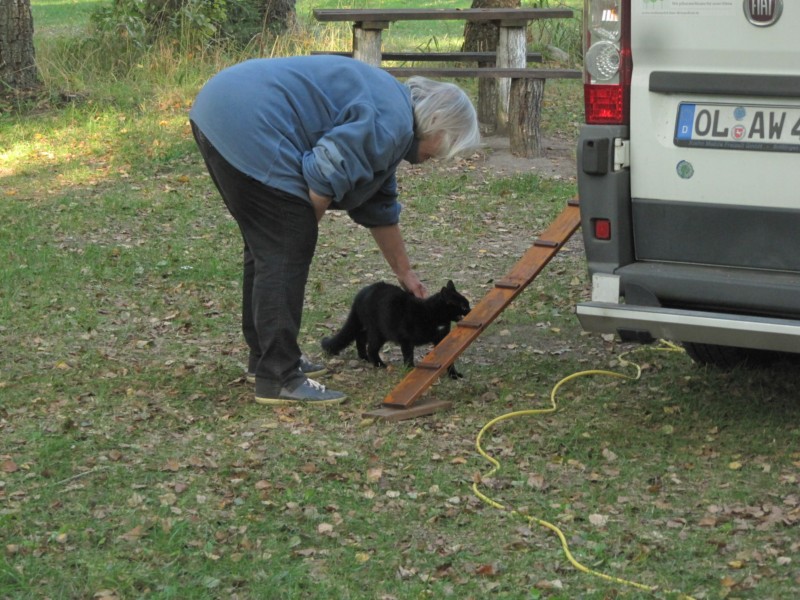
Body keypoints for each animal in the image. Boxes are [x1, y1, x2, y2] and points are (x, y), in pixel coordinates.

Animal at [318, 280, 468, 376]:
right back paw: (379, 364)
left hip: (369, 327)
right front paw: (410, 370)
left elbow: (447, 359)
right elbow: (408, 356)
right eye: (463, 306)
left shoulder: (441, 339)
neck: (433, 313)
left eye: (467, 304)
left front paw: (453, 374)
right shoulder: (406, 340)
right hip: (378, 332)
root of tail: (361, 294)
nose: (470, 309)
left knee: (360, 337)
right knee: (371, 347)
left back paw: (364, 357)